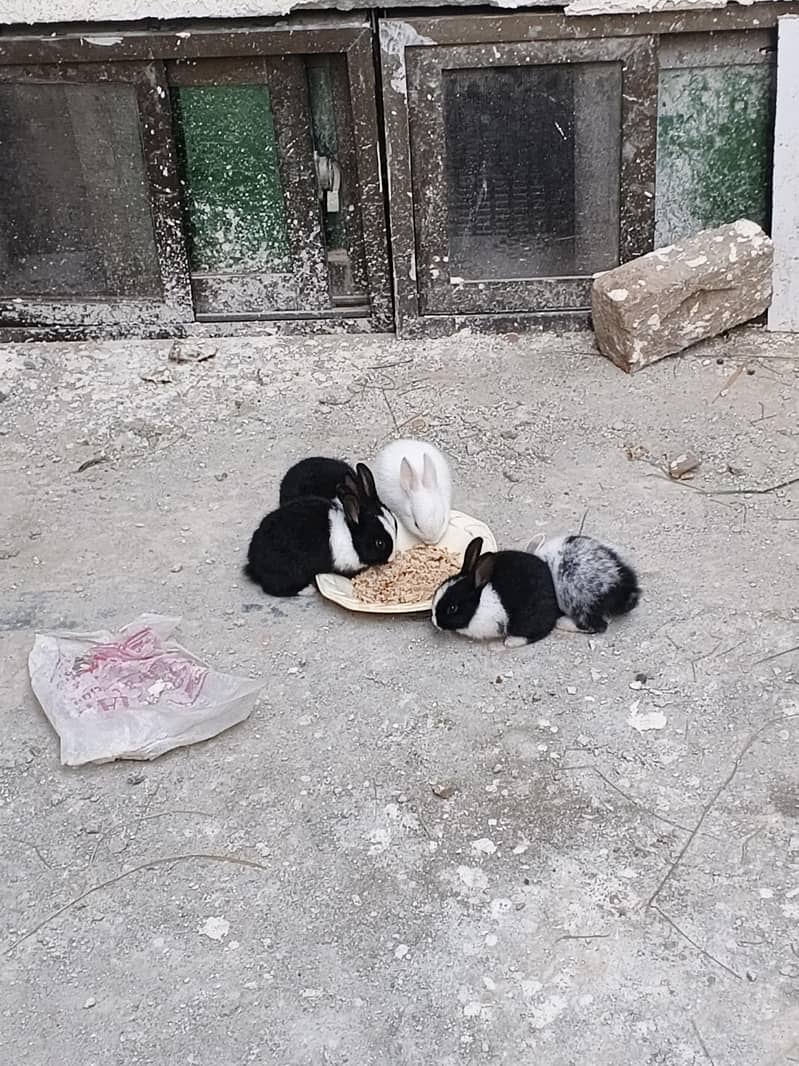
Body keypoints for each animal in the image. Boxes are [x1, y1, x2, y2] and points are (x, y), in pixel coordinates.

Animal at [245, 463, 396, 597]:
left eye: (395, 524)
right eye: (380, 544)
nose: (392, 558)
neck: (352, 537)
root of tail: (253, 562)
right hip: (289, 572)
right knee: (273, 588)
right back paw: (308, 590)